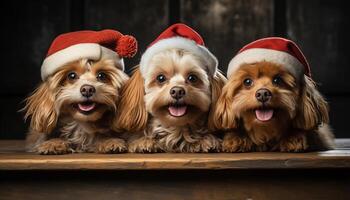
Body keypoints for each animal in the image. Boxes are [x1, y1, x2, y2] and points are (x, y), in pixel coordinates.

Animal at [113, 22, 226, 152]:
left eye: (192, 78)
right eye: (160, 78)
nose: (177, 91)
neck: (175, 130)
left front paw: (206, 140)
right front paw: (143, 142)